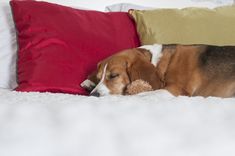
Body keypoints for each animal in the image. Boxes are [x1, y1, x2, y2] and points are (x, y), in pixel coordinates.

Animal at [81, 44, 235, 97]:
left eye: (113, 76)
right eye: (100, 77)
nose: (93, 95)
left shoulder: (176, 89)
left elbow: (146, 94)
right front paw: (89, 82)